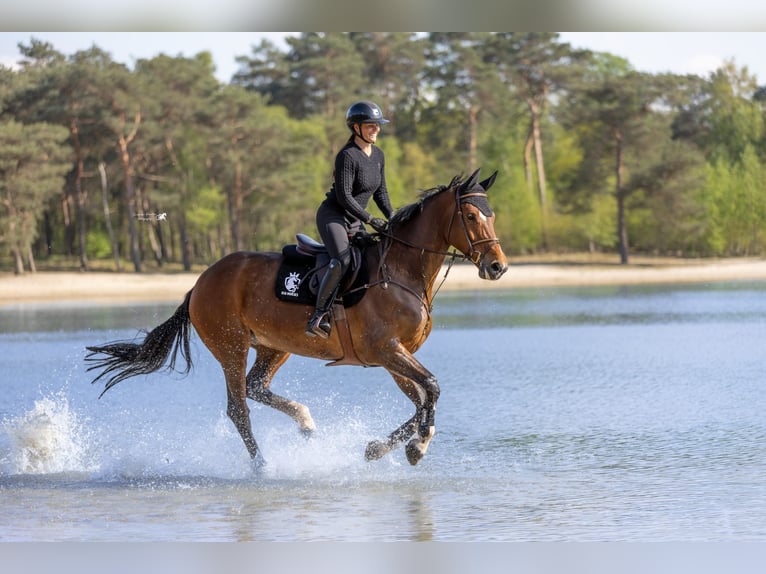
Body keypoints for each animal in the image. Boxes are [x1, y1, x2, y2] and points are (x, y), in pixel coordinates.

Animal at [85, 168, 508, 467]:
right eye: (472, 216)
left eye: (492, 215)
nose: (497, 267)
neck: (402, 272)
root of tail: (200, 282)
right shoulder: (388, 350)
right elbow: (431, 389)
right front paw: (417, 447)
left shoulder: (394, 356)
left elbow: (421, 400)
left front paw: (381, 448)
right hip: (231, 347)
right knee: (239, 408)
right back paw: (262, 466)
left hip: (274, 347)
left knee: (256, 387)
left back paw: (305, 422)